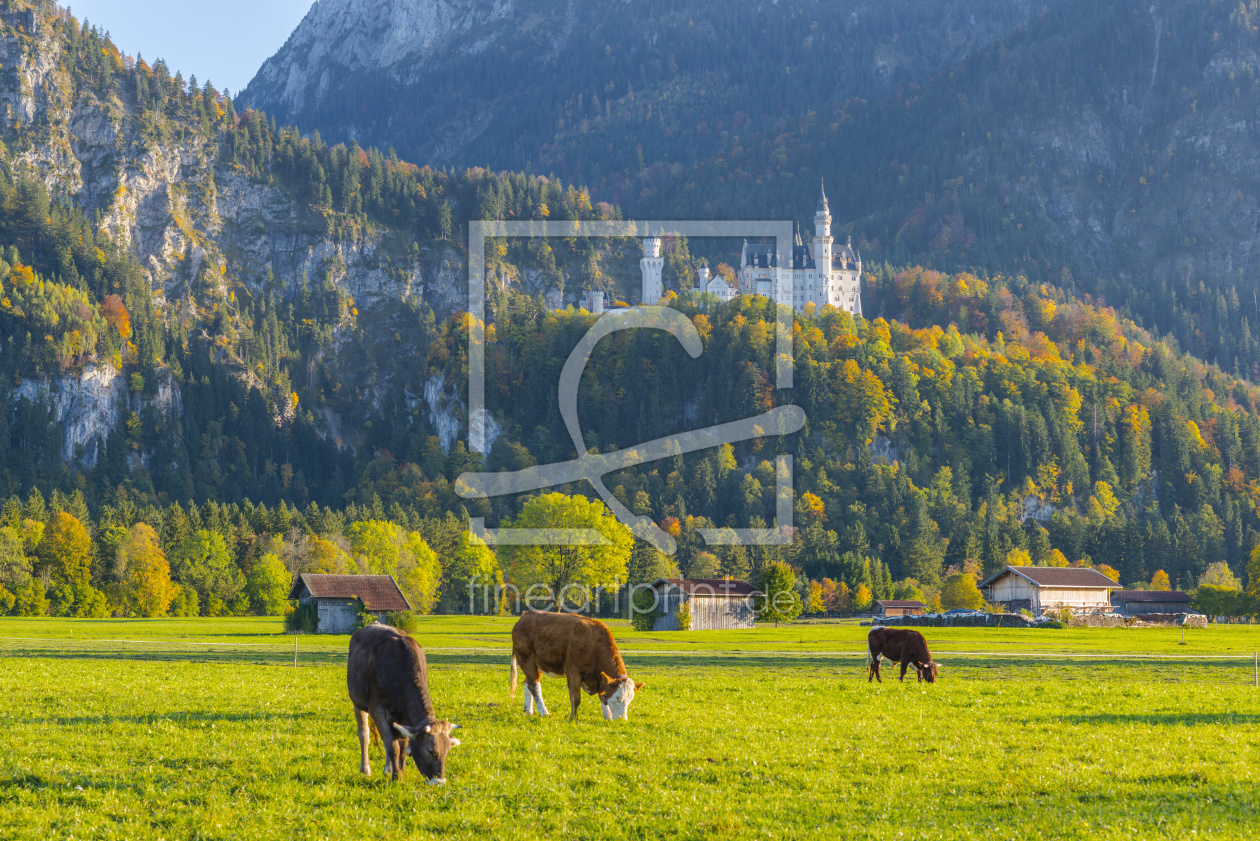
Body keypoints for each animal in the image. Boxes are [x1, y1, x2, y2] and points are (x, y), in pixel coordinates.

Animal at [345, 625, 463, 781]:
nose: (440, 781)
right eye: (430, 750)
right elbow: (392, 746)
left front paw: (402, 773)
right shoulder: (378, 710)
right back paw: (365, 769)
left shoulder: (405, 719)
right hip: (358, 702)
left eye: (447, 751)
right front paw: (397, 778)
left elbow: (401, 747)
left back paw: (388, 768)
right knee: (364, 734)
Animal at [506, 612, 645, 726]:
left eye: (630, 699)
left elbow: (602, 696)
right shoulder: (573, 672)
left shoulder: (601, 678)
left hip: (537, 664)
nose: (622, 720)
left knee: (528, 683)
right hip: (527, 659)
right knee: (534, 686)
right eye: (617, 697)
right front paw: (574, 719)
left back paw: (528, 711)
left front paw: (608, 716)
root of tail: (526, 615)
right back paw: (544, 712)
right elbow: (576, 698)